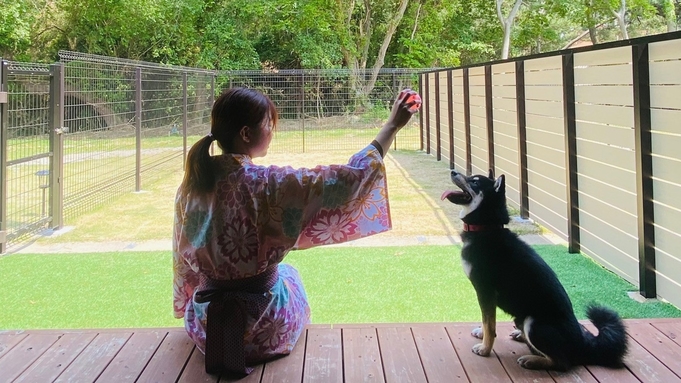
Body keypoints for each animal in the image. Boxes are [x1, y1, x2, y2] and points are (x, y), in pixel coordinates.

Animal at [440, 170, 628, 370]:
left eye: (474, 182)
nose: (453, 171)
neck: (485, 228)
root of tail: (583, 343)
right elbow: (488, 321)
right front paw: (482, 334)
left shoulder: (485, 291)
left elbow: (490, 324)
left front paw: (485, 348)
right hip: (521, 319)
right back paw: (521, 337)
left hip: (533, 323)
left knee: (562, 362)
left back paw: (532, 360)